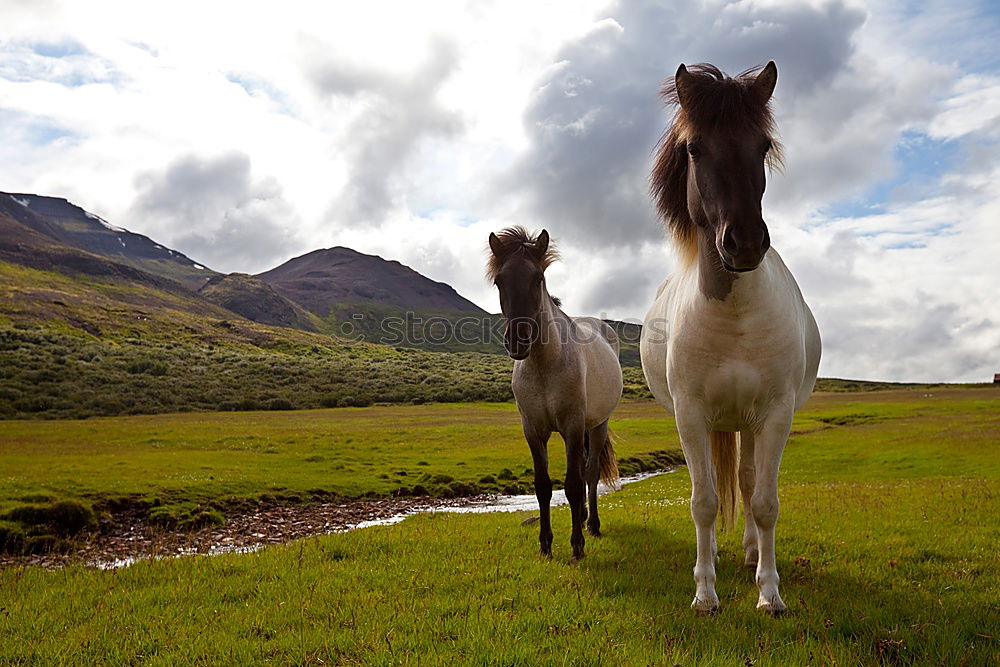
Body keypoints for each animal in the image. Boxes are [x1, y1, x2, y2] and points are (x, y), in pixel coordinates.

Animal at [488, 228, 620, 564]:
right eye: (499, 281)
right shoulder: (534, 430)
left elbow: (572, 485)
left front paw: (576, 547)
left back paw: (592, 524)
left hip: (597, 425)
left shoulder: (572, 427)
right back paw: (583, 518)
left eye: (538, 279)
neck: (544, 366)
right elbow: (543, 486)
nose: (518, 340)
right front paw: (545, 544)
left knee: (590, 472)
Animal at [640, 62, 820, 616]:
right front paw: (704, 593)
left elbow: (764, 501)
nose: (744, 243)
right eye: (694, 148)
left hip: (749, 423)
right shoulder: (692, 415)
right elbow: (703, 501)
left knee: (744, 480)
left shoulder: (777, 415)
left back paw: (748, 553)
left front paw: (770, 592)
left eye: (763, 146)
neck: (736, 316)